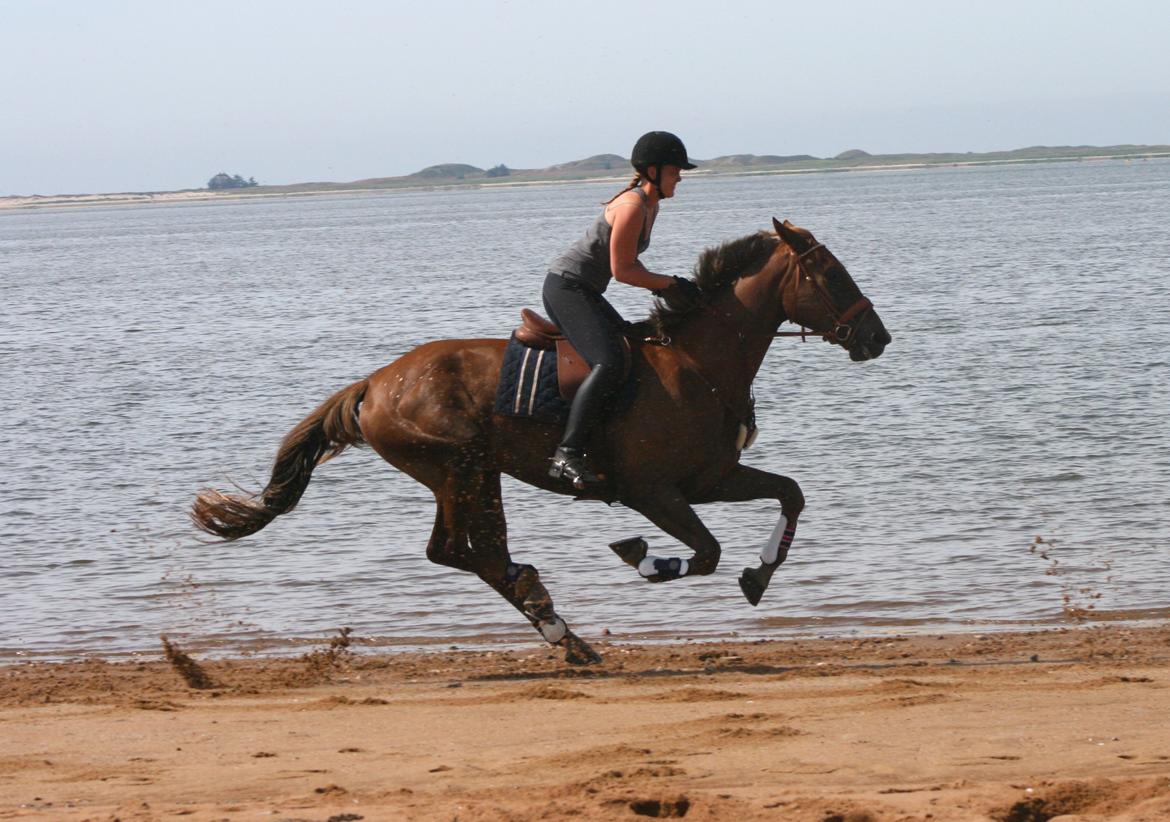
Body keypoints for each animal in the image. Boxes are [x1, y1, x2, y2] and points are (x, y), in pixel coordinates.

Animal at [191, 219, 889, 668]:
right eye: (831, 274)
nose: (877, 337)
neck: (699, 364)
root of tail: (373, 384)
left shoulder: (710, 480)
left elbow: (790, 496)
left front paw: (759, 574)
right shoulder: (652, 492)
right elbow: (705, 552)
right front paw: (641, 556)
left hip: (474, 474)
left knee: (468, 553)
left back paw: (561, 629)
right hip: (460, 467)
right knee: (462, 551)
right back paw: (554, 620)